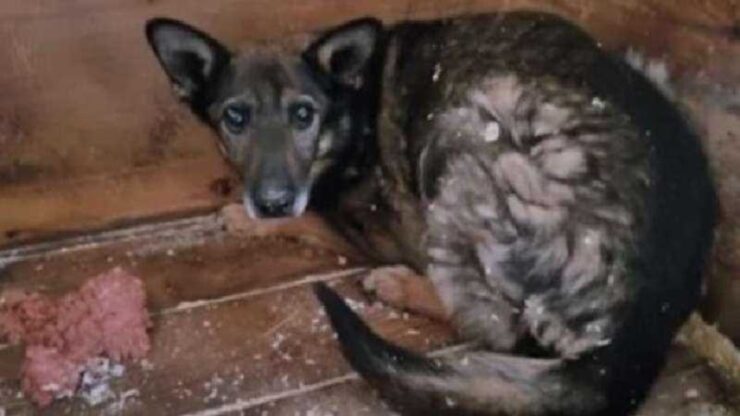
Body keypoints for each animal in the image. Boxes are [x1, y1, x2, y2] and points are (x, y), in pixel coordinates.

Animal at [145, 10, 716, 416]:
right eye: (235, 118)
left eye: (303, 115)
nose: (270, 199)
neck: (352, 105)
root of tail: (654, 311)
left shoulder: (375, 228)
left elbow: (314, 218)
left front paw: (245, 217)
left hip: (464, 124)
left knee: (498, 324)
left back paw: (398, 284)